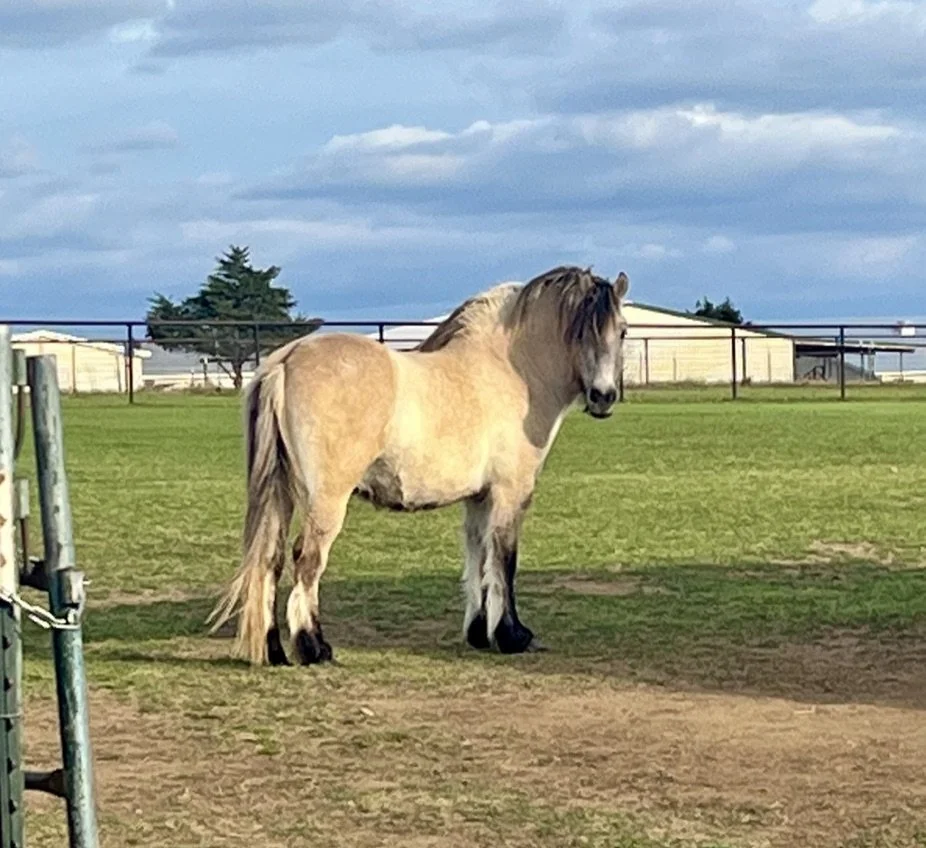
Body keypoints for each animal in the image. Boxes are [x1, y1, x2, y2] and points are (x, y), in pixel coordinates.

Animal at [207, 265, 630, 666]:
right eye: (581, 332)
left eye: (622, 331)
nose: (603, 396)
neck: (512, 371)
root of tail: (286, 361)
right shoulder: (511, 493)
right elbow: (504, 560)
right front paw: (512, 636)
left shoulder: (478, 498)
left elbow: (477, 557)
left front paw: (479, 632)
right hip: (326, 499)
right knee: (307, 559)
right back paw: (314, 647)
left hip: (280, 493)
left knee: (270, 559)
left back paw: (274, 649)